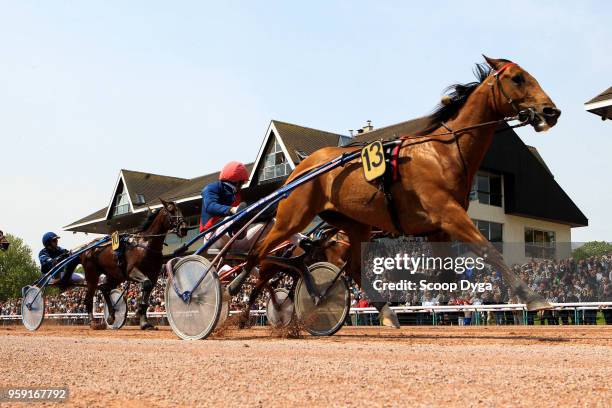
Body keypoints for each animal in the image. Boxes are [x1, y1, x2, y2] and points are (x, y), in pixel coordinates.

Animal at [80, 199, 188, 330]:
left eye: (180, 209)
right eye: (171, 210)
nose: (184, 228)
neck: (146, 244)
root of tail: (86, 249)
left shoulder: (153, 275)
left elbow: (147, 291)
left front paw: (144, 322)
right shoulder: (132, 271)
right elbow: (146, 284)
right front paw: (139, 314)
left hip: (116, 276)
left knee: (104, 288)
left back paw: (111, 316)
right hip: (92, 276)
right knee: (89, 298)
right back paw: (93, 322)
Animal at [247, 55, 560, 322]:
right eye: (517, 78)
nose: (551, 111)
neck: (444, 152)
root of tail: (300, 167)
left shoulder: (437, 228)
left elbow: (444, 273)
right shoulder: (449, 214)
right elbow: (488, 250)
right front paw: (532, 297)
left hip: (353, 225)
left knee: (348, 266)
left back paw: (382, 311)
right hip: (292, 217)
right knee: (259, 254)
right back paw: (252, 304)